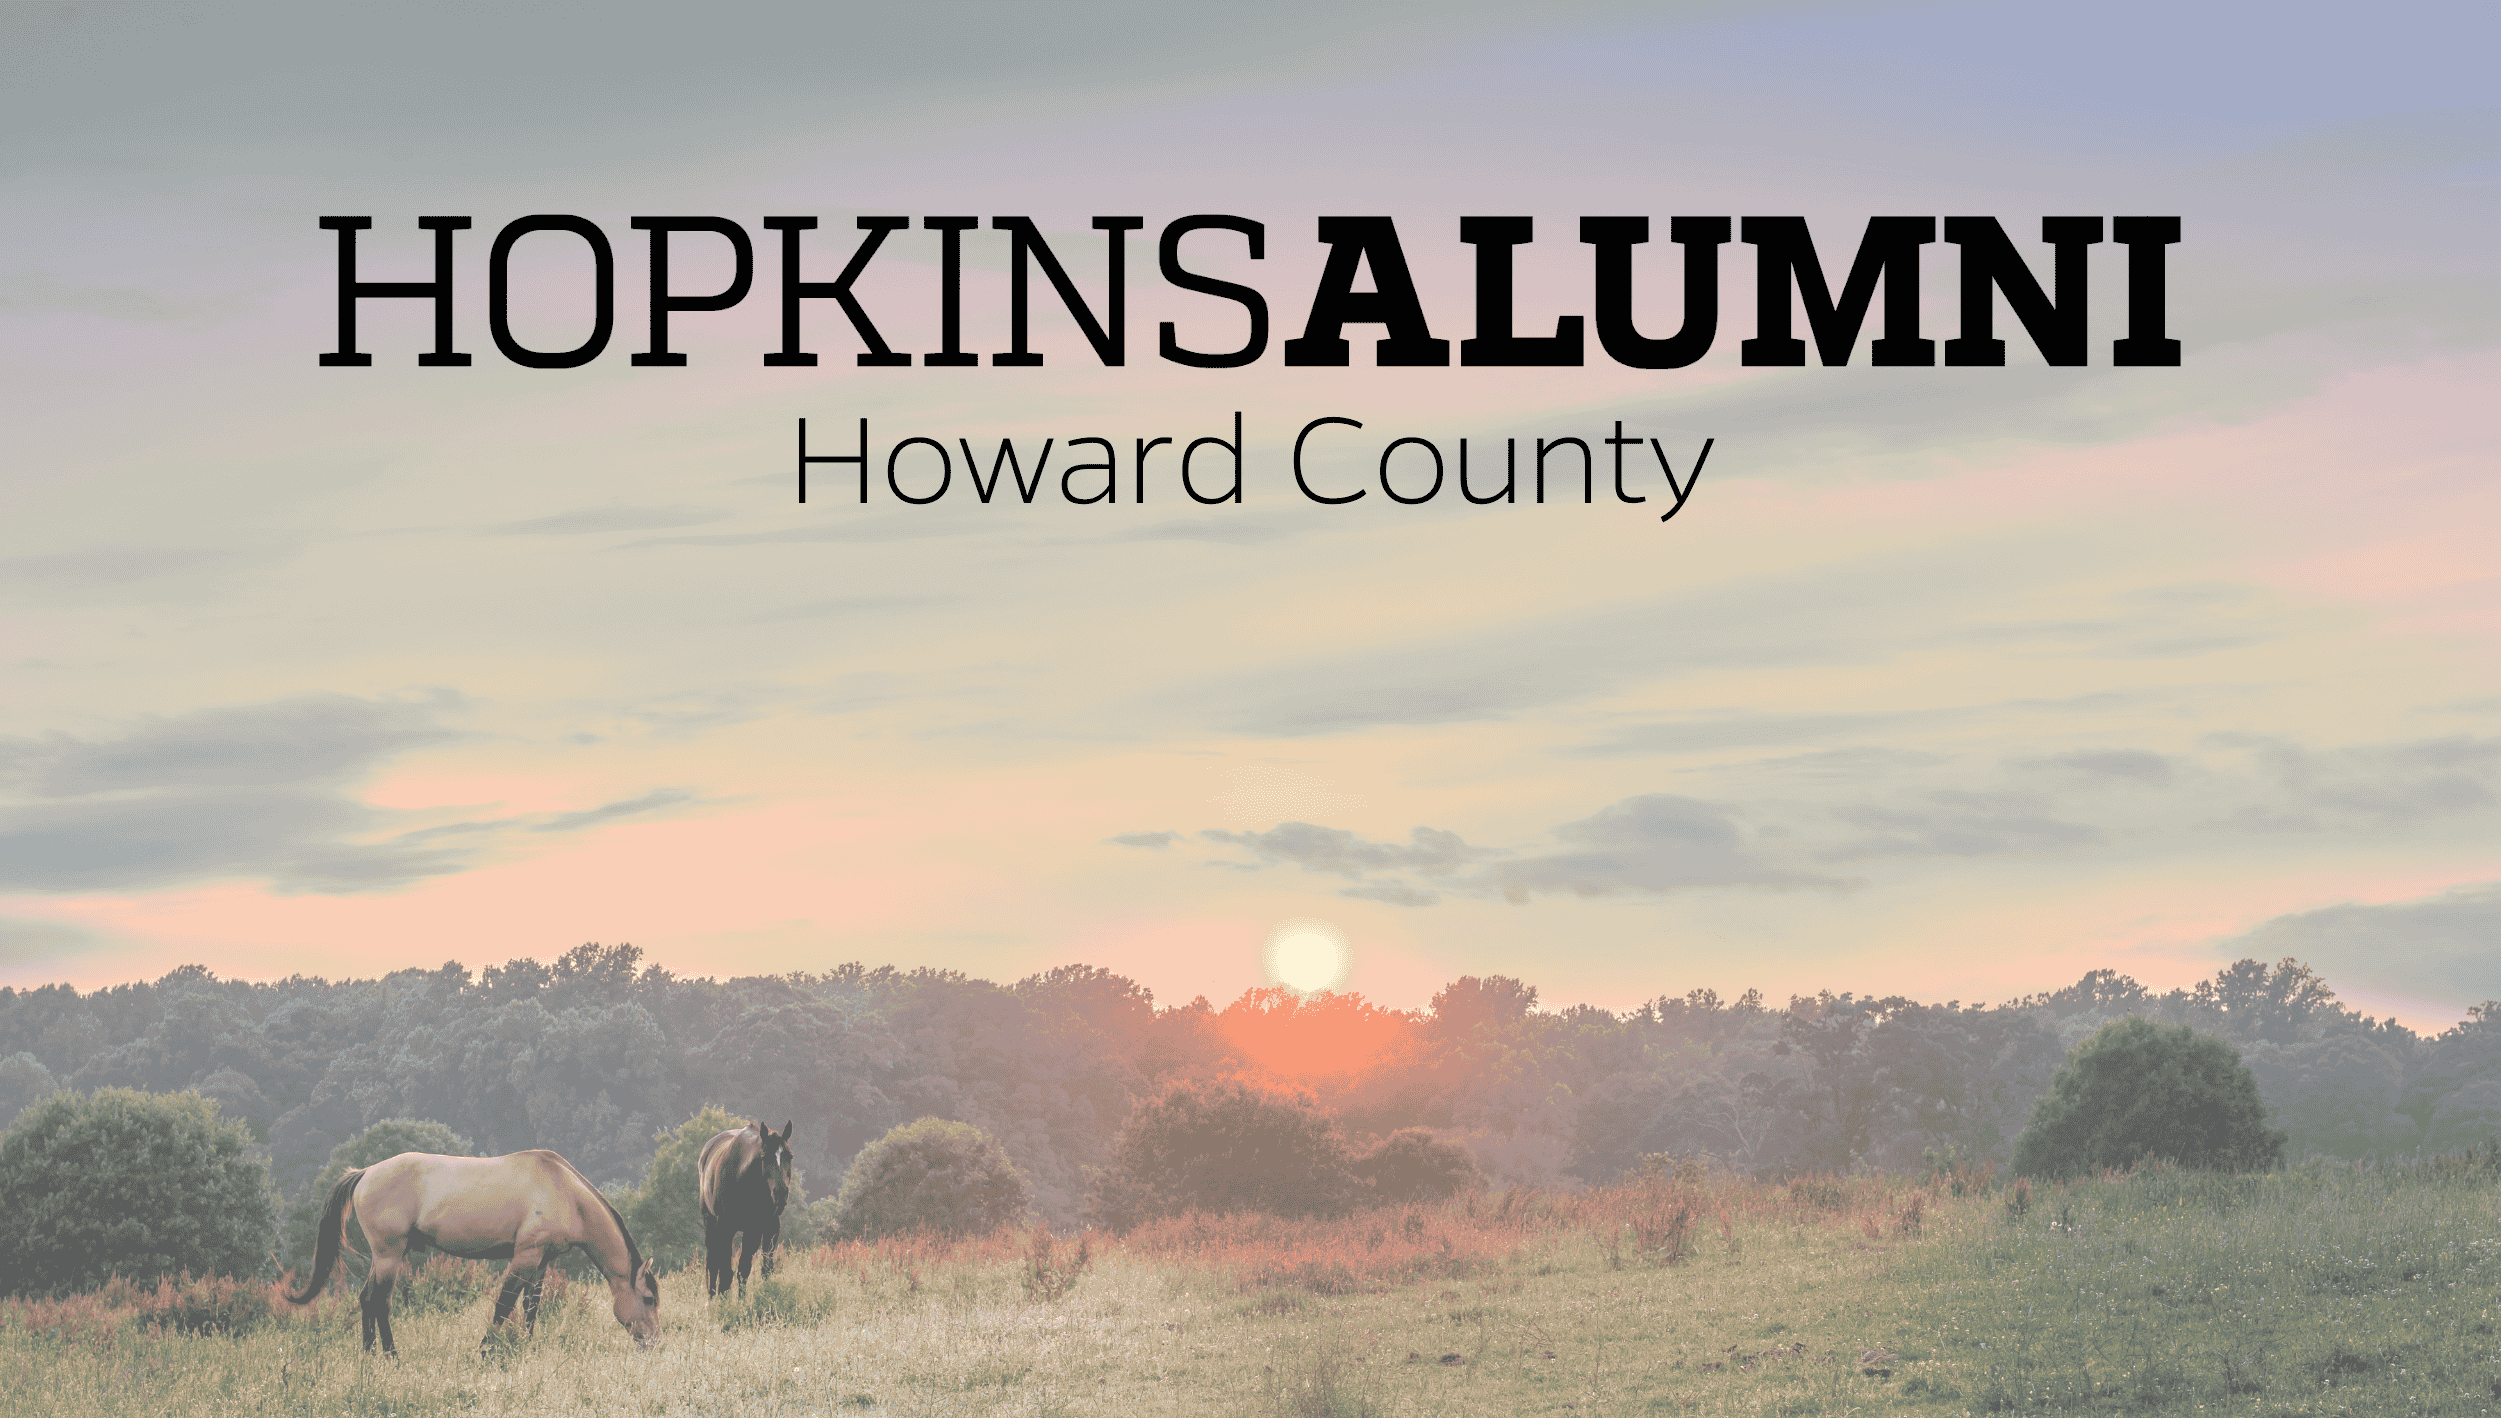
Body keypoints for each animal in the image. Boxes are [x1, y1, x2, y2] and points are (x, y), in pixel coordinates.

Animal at [285, 1150, 660, 1360]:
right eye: (649, 1299)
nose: (654, 1343)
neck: (565, 1192)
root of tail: (364, 1174)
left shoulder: (542, 1261)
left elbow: (530, 1309)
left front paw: (526, 1348)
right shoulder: (525, 1256)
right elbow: (504, 1305)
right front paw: (484, 1352)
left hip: (383, 1257)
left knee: (365, 1298)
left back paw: (369, 1355)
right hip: (390, 1254)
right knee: (379, 1301)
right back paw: (391, 1357)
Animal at [695, 1120, 790, 1300]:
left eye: (790, 1157)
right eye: (764, 1157)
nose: (781, 1193)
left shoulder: (766, 1227)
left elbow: (754, 1269)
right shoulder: (726, 1227)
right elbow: (726, 1272)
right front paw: (725, 1303)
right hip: (710, 1222)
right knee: (712, 1265)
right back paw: (711, 1299)